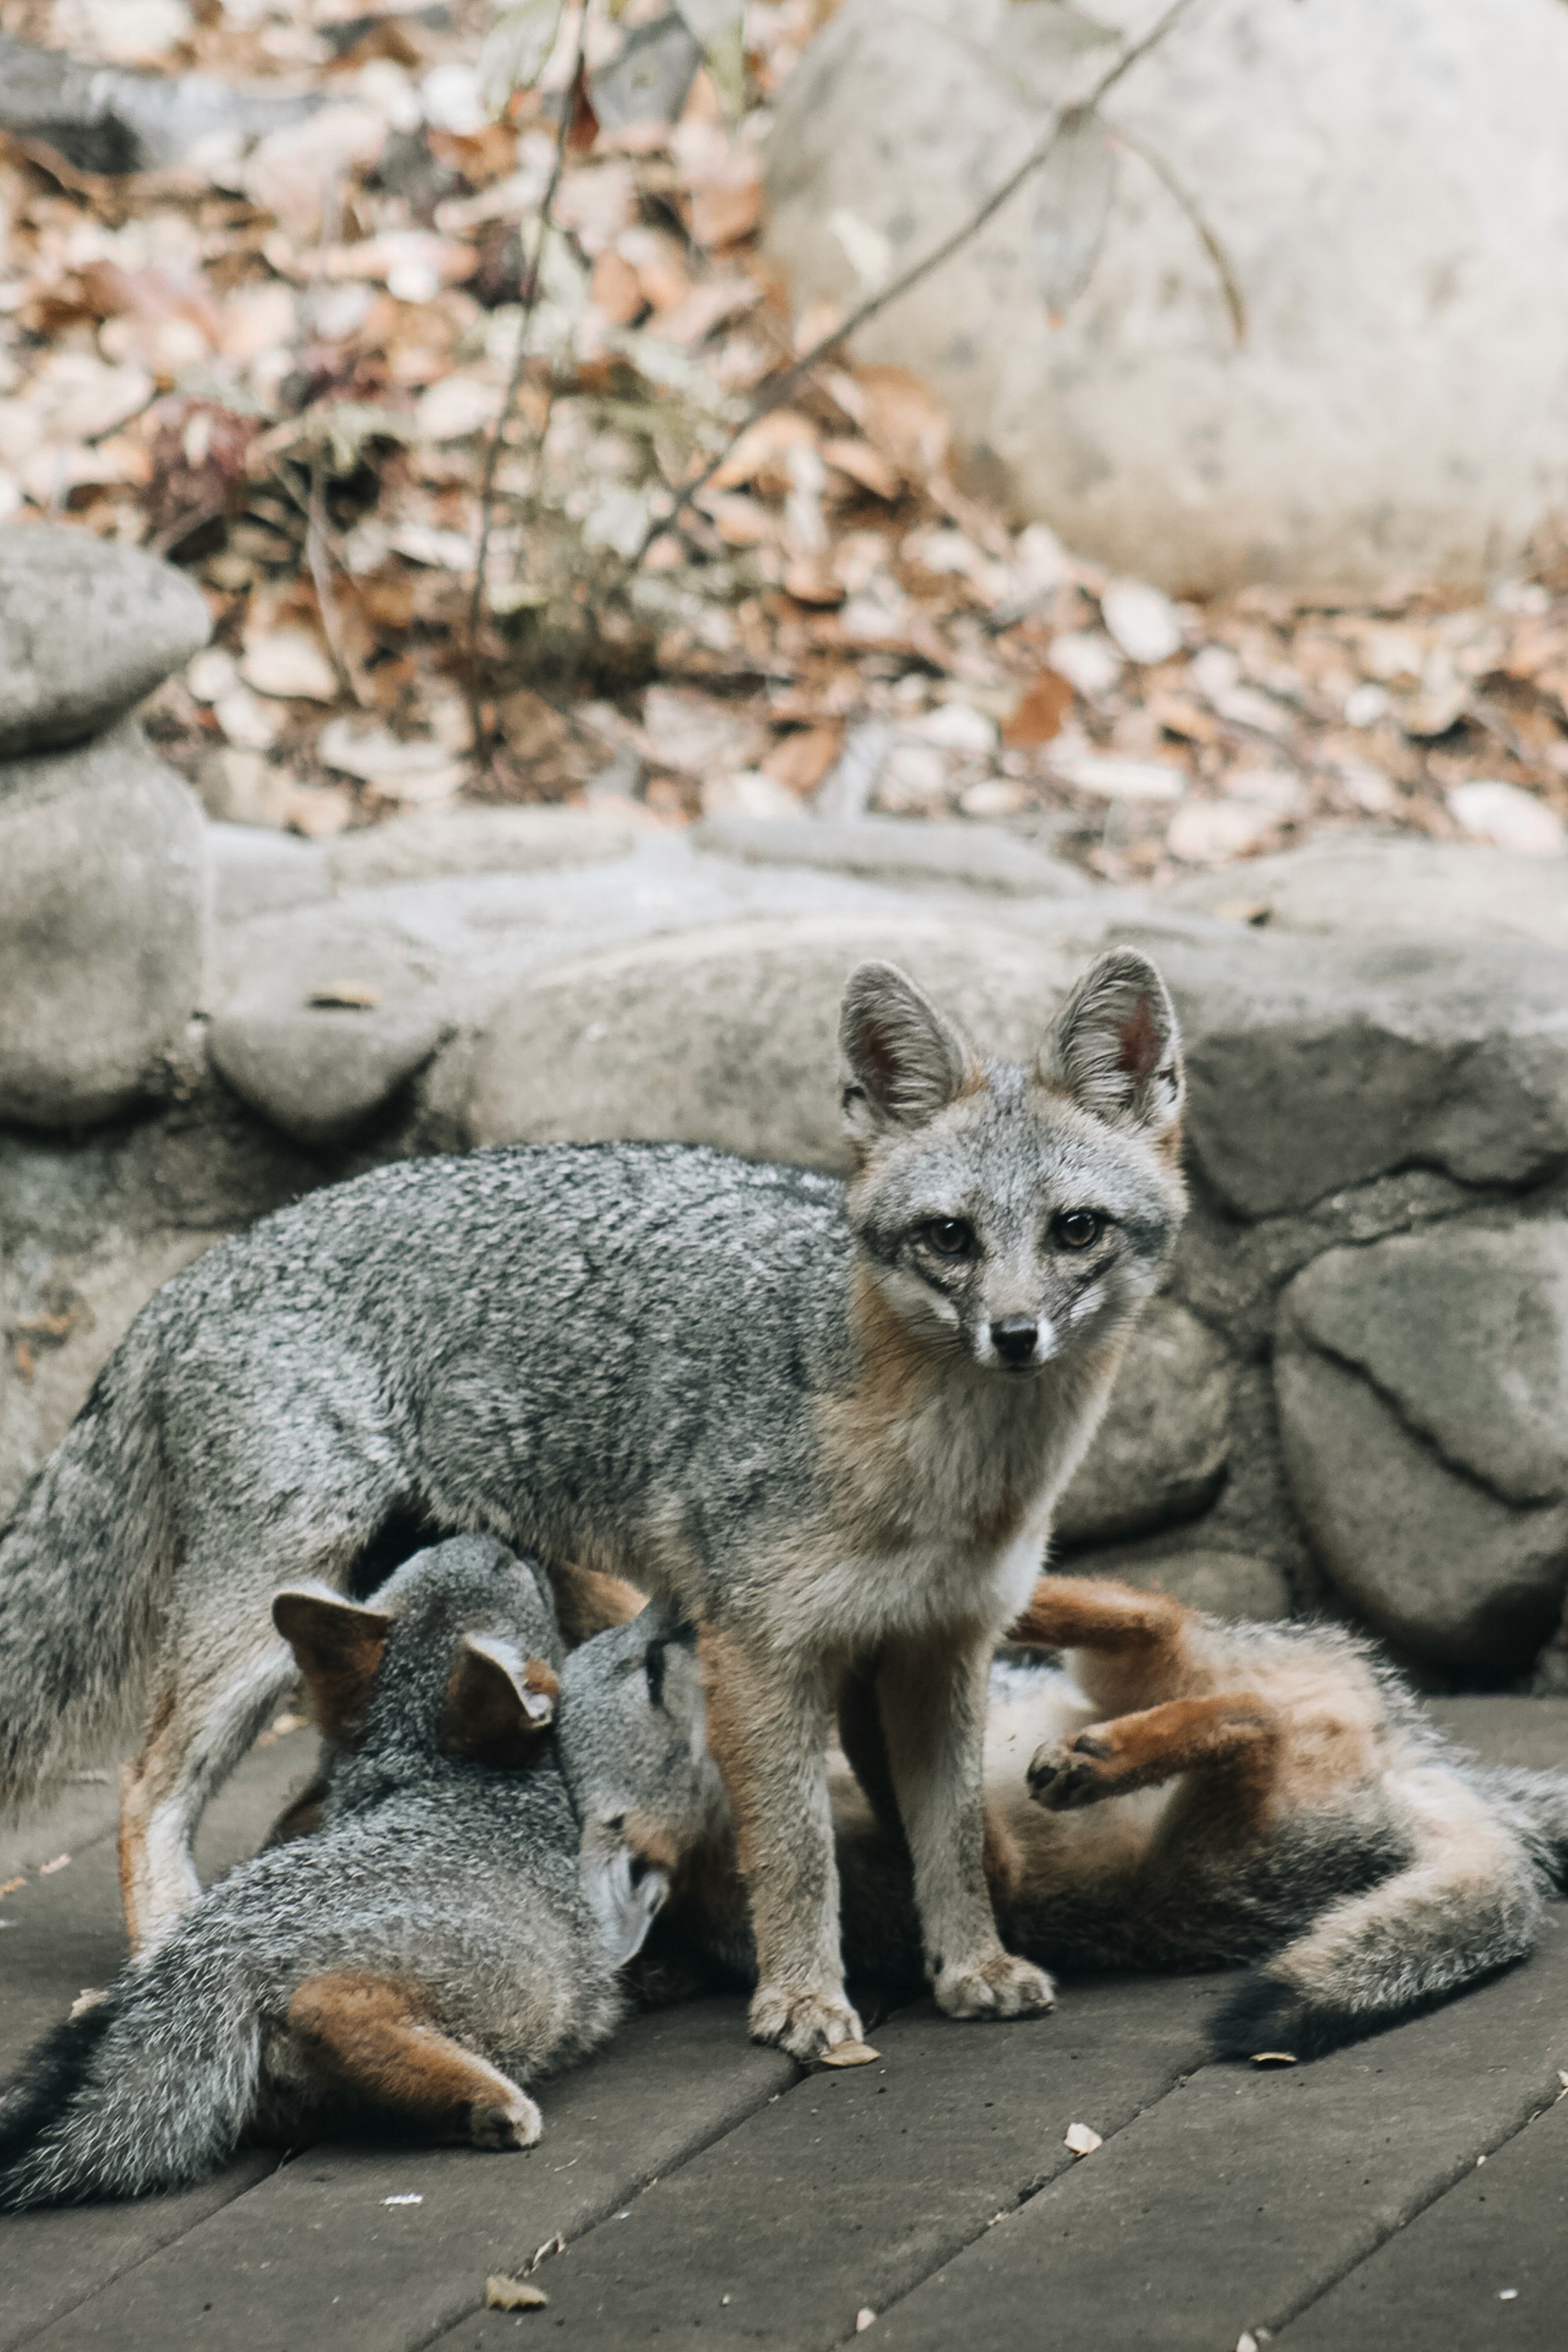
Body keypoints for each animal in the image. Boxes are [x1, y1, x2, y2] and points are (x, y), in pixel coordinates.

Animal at [0, 946, 1185, 2051]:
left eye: (1075, 1229)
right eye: (950, 1237)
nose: (1015, 1336)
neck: (946, 1472)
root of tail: (201, 1270)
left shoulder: (939, 1647)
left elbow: (953, 1842)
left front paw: (973, 1967)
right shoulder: (760, 1651)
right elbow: (794, 1851)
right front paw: (802, 2001)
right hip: (258, 1626)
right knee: (144, 1787)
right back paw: (164, 1952)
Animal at [0, 1534, 710, 2211]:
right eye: (512, 1569)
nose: (507, 1538)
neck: (436, 1771)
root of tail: (217, 1947)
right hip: (510, 1989)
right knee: (328, 2008)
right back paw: (488, 2104)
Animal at [639, 1581, 1568, 2060]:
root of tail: (1420, 1762)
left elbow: (887, 1734)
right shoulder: (987, 1878)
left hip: (1143, 1689)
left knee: (1165, 1624)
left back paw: (1004, 1609)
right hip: (1191, 1866)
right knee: (1245, 1714)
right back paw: (1093, 1755)